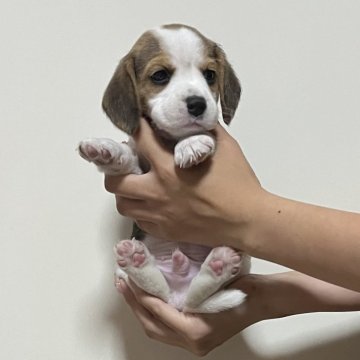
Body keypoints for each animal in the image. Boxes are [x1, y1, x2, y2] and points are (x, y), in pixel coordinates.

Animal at [79, 24, 250, 312]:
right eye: (160, 76)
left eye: (210, 75)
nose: (198, 104)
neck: (168, 140)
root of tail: (178, 293)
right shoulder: (140, 172)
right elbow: (127, 157)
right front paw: (106, 150)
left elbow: (207, 134)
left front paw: (192, 143)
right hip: (125, 274)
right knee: (160, 289)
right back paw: (138, 261)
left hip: (243, 255)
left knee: (197, 295)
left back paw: (218, 266)